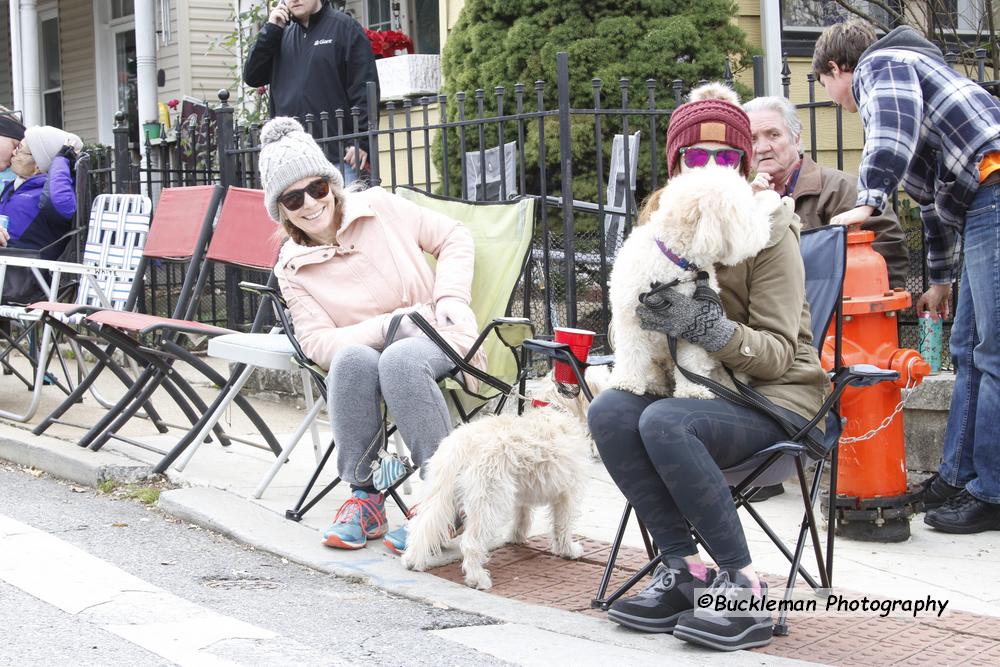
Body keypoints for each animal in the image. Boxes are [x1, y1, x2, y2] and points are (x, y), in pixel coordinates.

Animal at [400, 368, 608, 592]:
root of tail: (463, 445)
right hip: (488, 500)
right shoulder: (567, 493)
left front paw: (517, 537)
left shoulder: (523, 493)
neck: (558, 409)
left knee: (422, 525)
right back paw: (477, 578)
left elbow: (522, 516)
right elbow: (563, 524)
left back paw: (412, 560)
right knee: (470, 542)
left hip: (439, 492)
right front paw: (567, 549)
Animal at [604, 160, 784, 402]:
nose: (767, 227)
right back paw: (654, 384)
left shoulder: (692, 324)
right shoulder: (629, 318)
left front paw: (692, 390)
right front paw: (627, 382)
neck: (675, 265)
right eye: (745, 212)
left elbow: (691, 361)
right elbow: (631, 352)